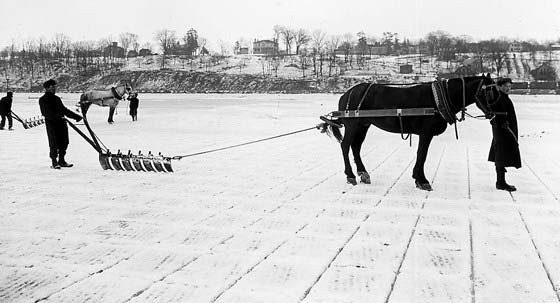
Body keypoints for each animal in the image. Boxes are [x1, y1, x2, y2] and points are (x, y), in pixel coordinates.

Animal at [320, 74, 498, 191]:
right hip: (353, 125)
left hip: (363, 125)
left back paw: (363, 173)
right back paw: (350, 175)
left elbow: (421, 154)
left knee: (356, 147)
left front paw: (418, 178)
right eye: (489, 92)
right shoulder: (426, 133)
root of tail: (347, 94)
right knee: (345, 146)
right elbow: (422, 154)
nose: (494, 114)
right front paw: (422, 180)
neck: (439, 99)